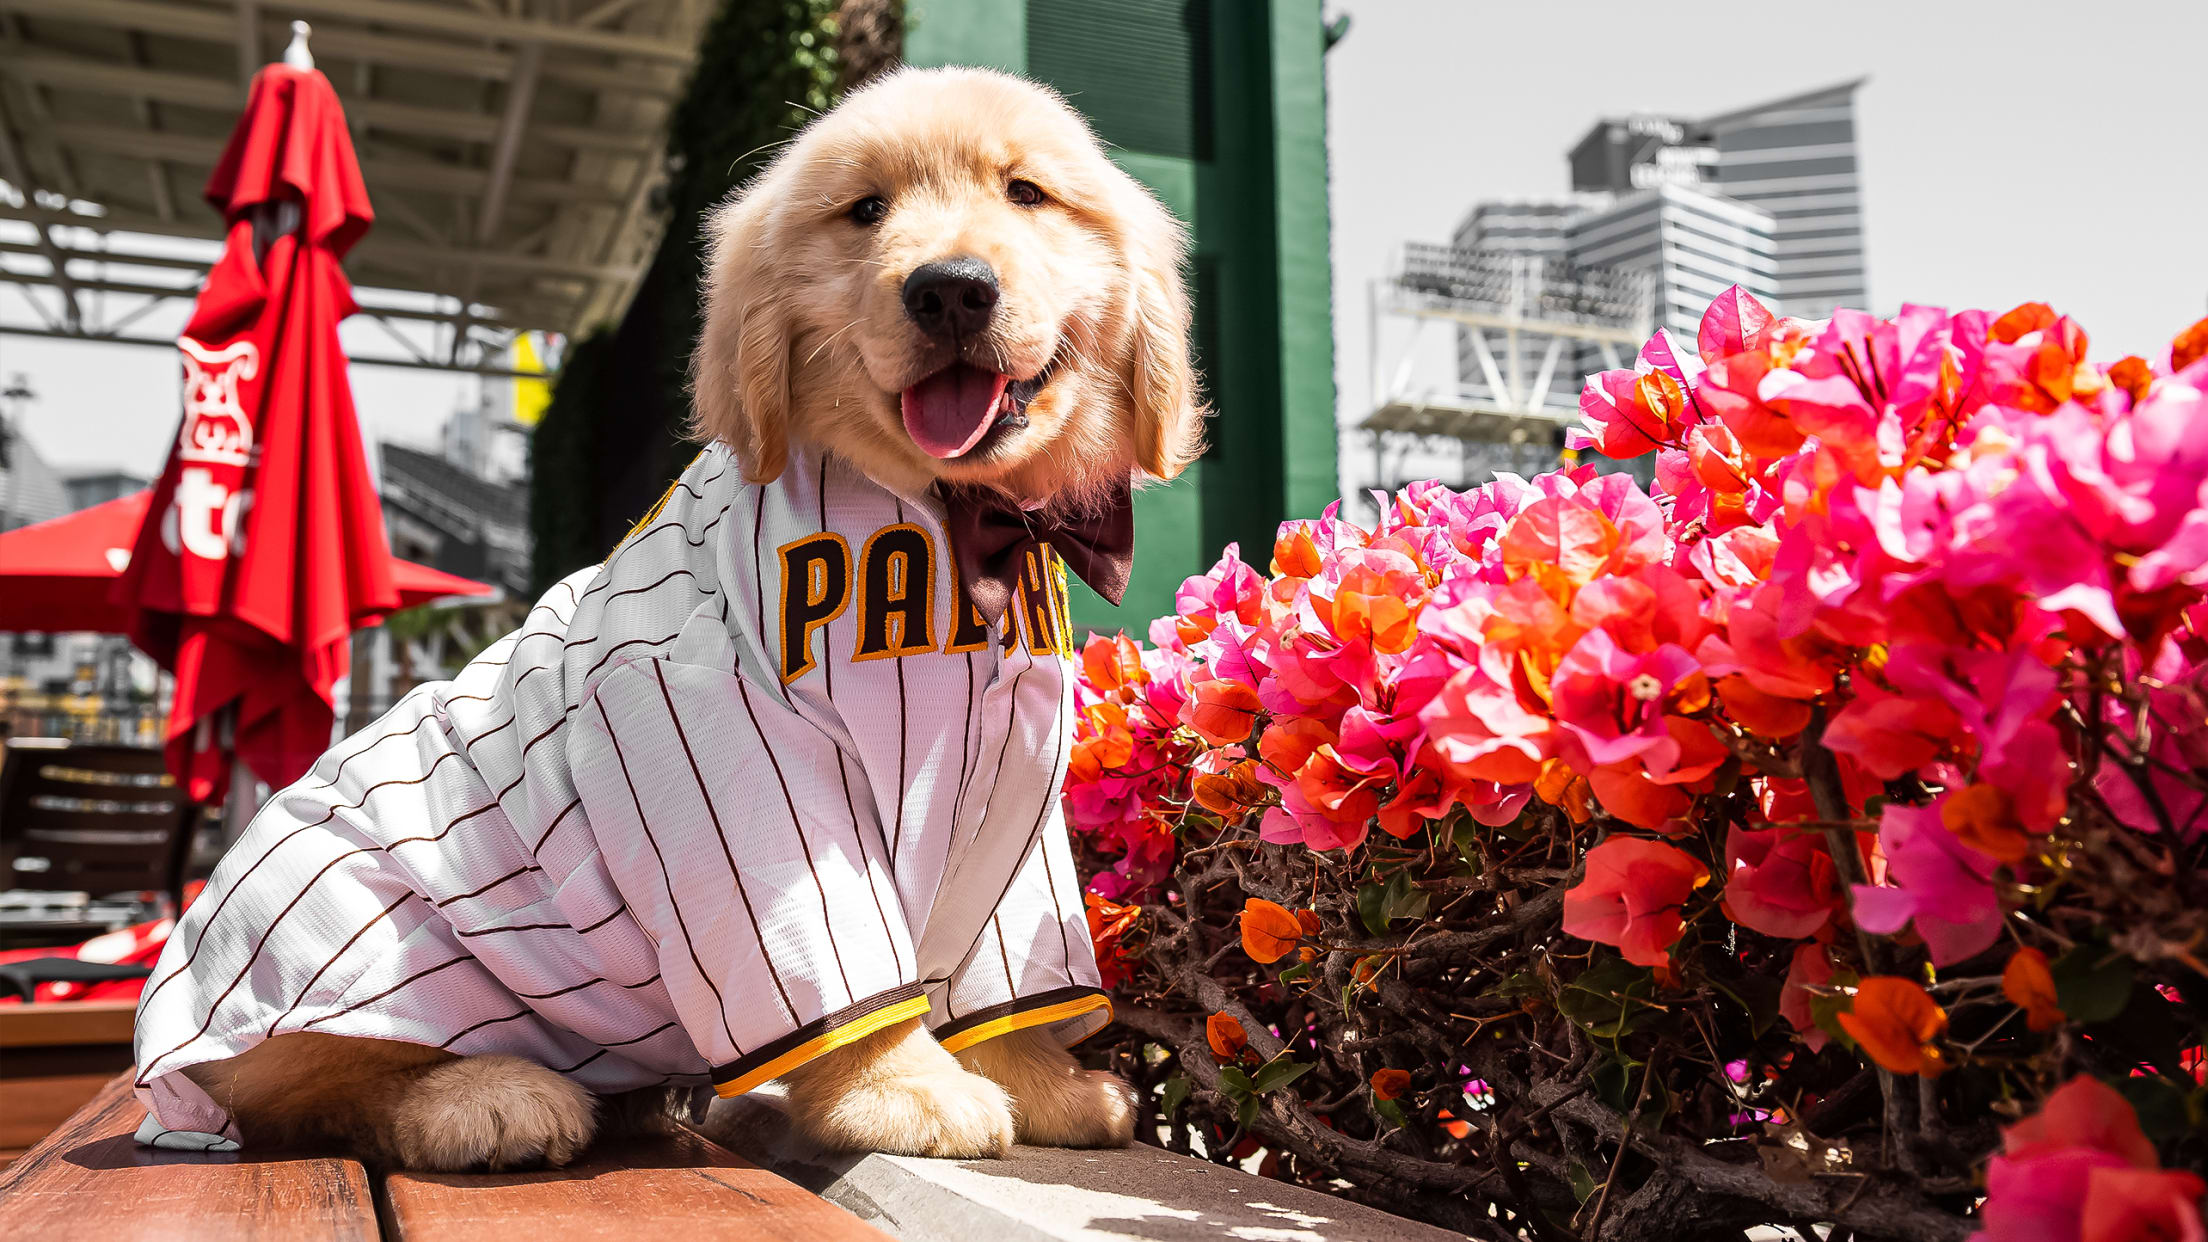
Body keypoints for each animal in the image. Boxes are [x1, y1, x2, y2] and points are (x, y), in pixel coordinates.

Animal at [155, 67, 1201, 1166]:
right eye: (865, 210)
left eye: (1027, 193)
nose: (950, 286)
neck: (958, 526)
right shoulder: (730, 749)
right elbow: (844, 976)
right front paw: (900, 1092)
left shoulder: (1014, 791)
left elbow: (1001, 982)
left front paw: (1045, 1086)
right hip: (342, 920)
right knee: (306, 1090)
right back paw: (483, 1097)